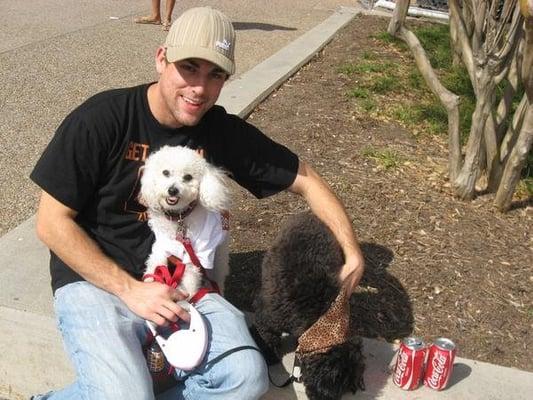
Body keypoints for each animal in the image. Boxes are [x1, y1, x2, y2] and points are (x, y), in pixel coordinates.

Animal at [140, 145, 232, 298]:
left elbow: (190, 279)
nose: (172, 190)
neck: (179, 218)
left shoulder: (196, 255)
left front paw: (190, 297)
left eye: (188, 177)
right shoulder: (162, 244)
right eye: (165, 172)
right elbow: (155, 263)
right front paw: (150, 283)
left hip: (218, 255)